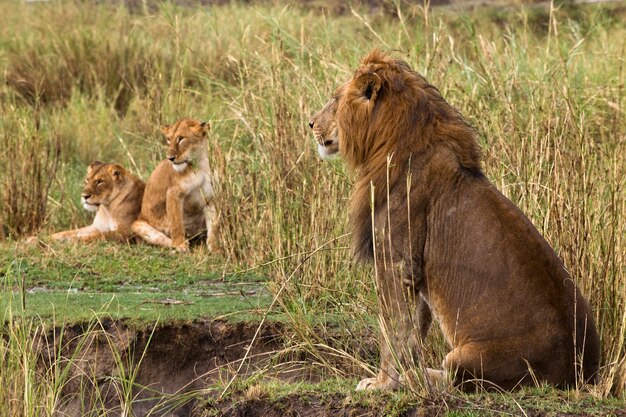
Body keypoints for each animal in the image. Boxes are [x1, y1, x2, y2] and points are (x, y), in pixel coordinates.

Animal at [131, 118, 217, 252]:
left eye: (181, 139)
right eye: (168, 139)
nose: (170, 158)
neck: (200, 163)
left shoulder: (210, 197)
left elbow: (213, 225)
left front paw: (215, 246)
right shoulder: (173, 192)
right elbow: (176, 222)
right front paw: (180, 245)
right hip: (138, 225)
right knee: (163, 239)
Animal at [310, 50, 596, 392]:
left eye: (335, 98)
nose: (310, 123)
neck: (390, 144)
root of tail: (580, 374)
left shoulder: (395, 261)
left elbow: (393, 331)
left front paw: (382, 383)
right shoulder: (415, 271)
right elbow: (412, 330)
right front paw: (394, 379)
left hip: (466, 357)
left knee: (454, 378)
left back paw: (419, 378)